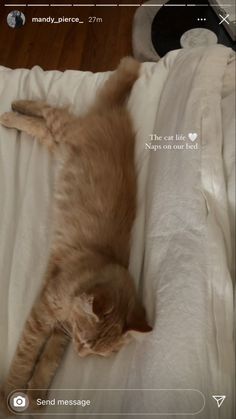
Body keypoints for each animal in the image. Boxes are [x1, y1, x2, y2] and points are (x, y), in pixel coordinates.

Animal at [0, 57, 152, 416]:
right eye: (85, 342)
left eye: (96, 351)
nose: (83, 355)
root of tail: (116, 113)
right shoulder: (44, 312)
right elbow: (26, 355)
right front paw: (10, 397)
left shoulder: (60, 326)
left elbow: (49, 360)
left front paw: (36, 396)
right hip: (65, 130)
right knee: (47, 108)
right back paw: (13, 109)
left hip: (59, 143)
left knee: (42, 124)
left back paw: (13, 111)